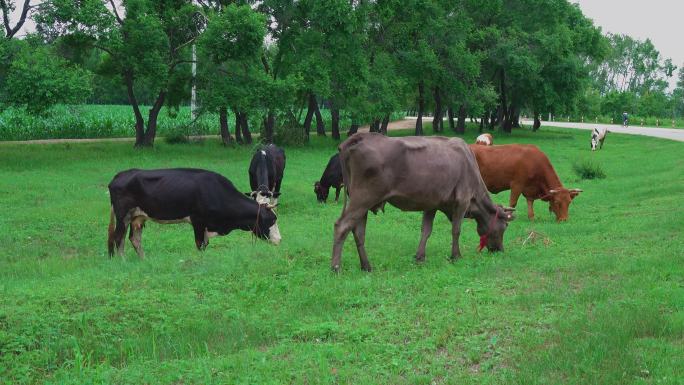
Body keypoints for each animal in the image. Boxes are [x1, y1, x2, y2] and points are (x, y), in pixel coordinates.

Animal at [108, 166, 280, 256]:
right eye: (272, 220)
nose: (279, 240)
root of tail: (119, 175)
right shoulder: (198, 220)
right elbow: (200, 244)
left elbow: (205, 243)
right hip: (123, 215)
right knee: (118, 238)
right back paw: (122, 261)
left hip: (137, 217)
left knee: (134, 238)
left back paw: (143, 260)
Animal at [332, 134, 512, 272]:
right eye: (504, 227)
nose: (500, 250)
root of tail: (360, 137)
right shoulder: (463, 200)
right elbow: (456, 230)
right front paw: (456, 256)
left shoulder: (432, 204)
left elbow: (426, 231)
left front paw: (419, 257)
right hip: (363, 198)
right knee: (342, 226)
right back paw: (336, 267)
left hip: (362, 203)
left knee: (358, 232)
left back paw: (366, 266)